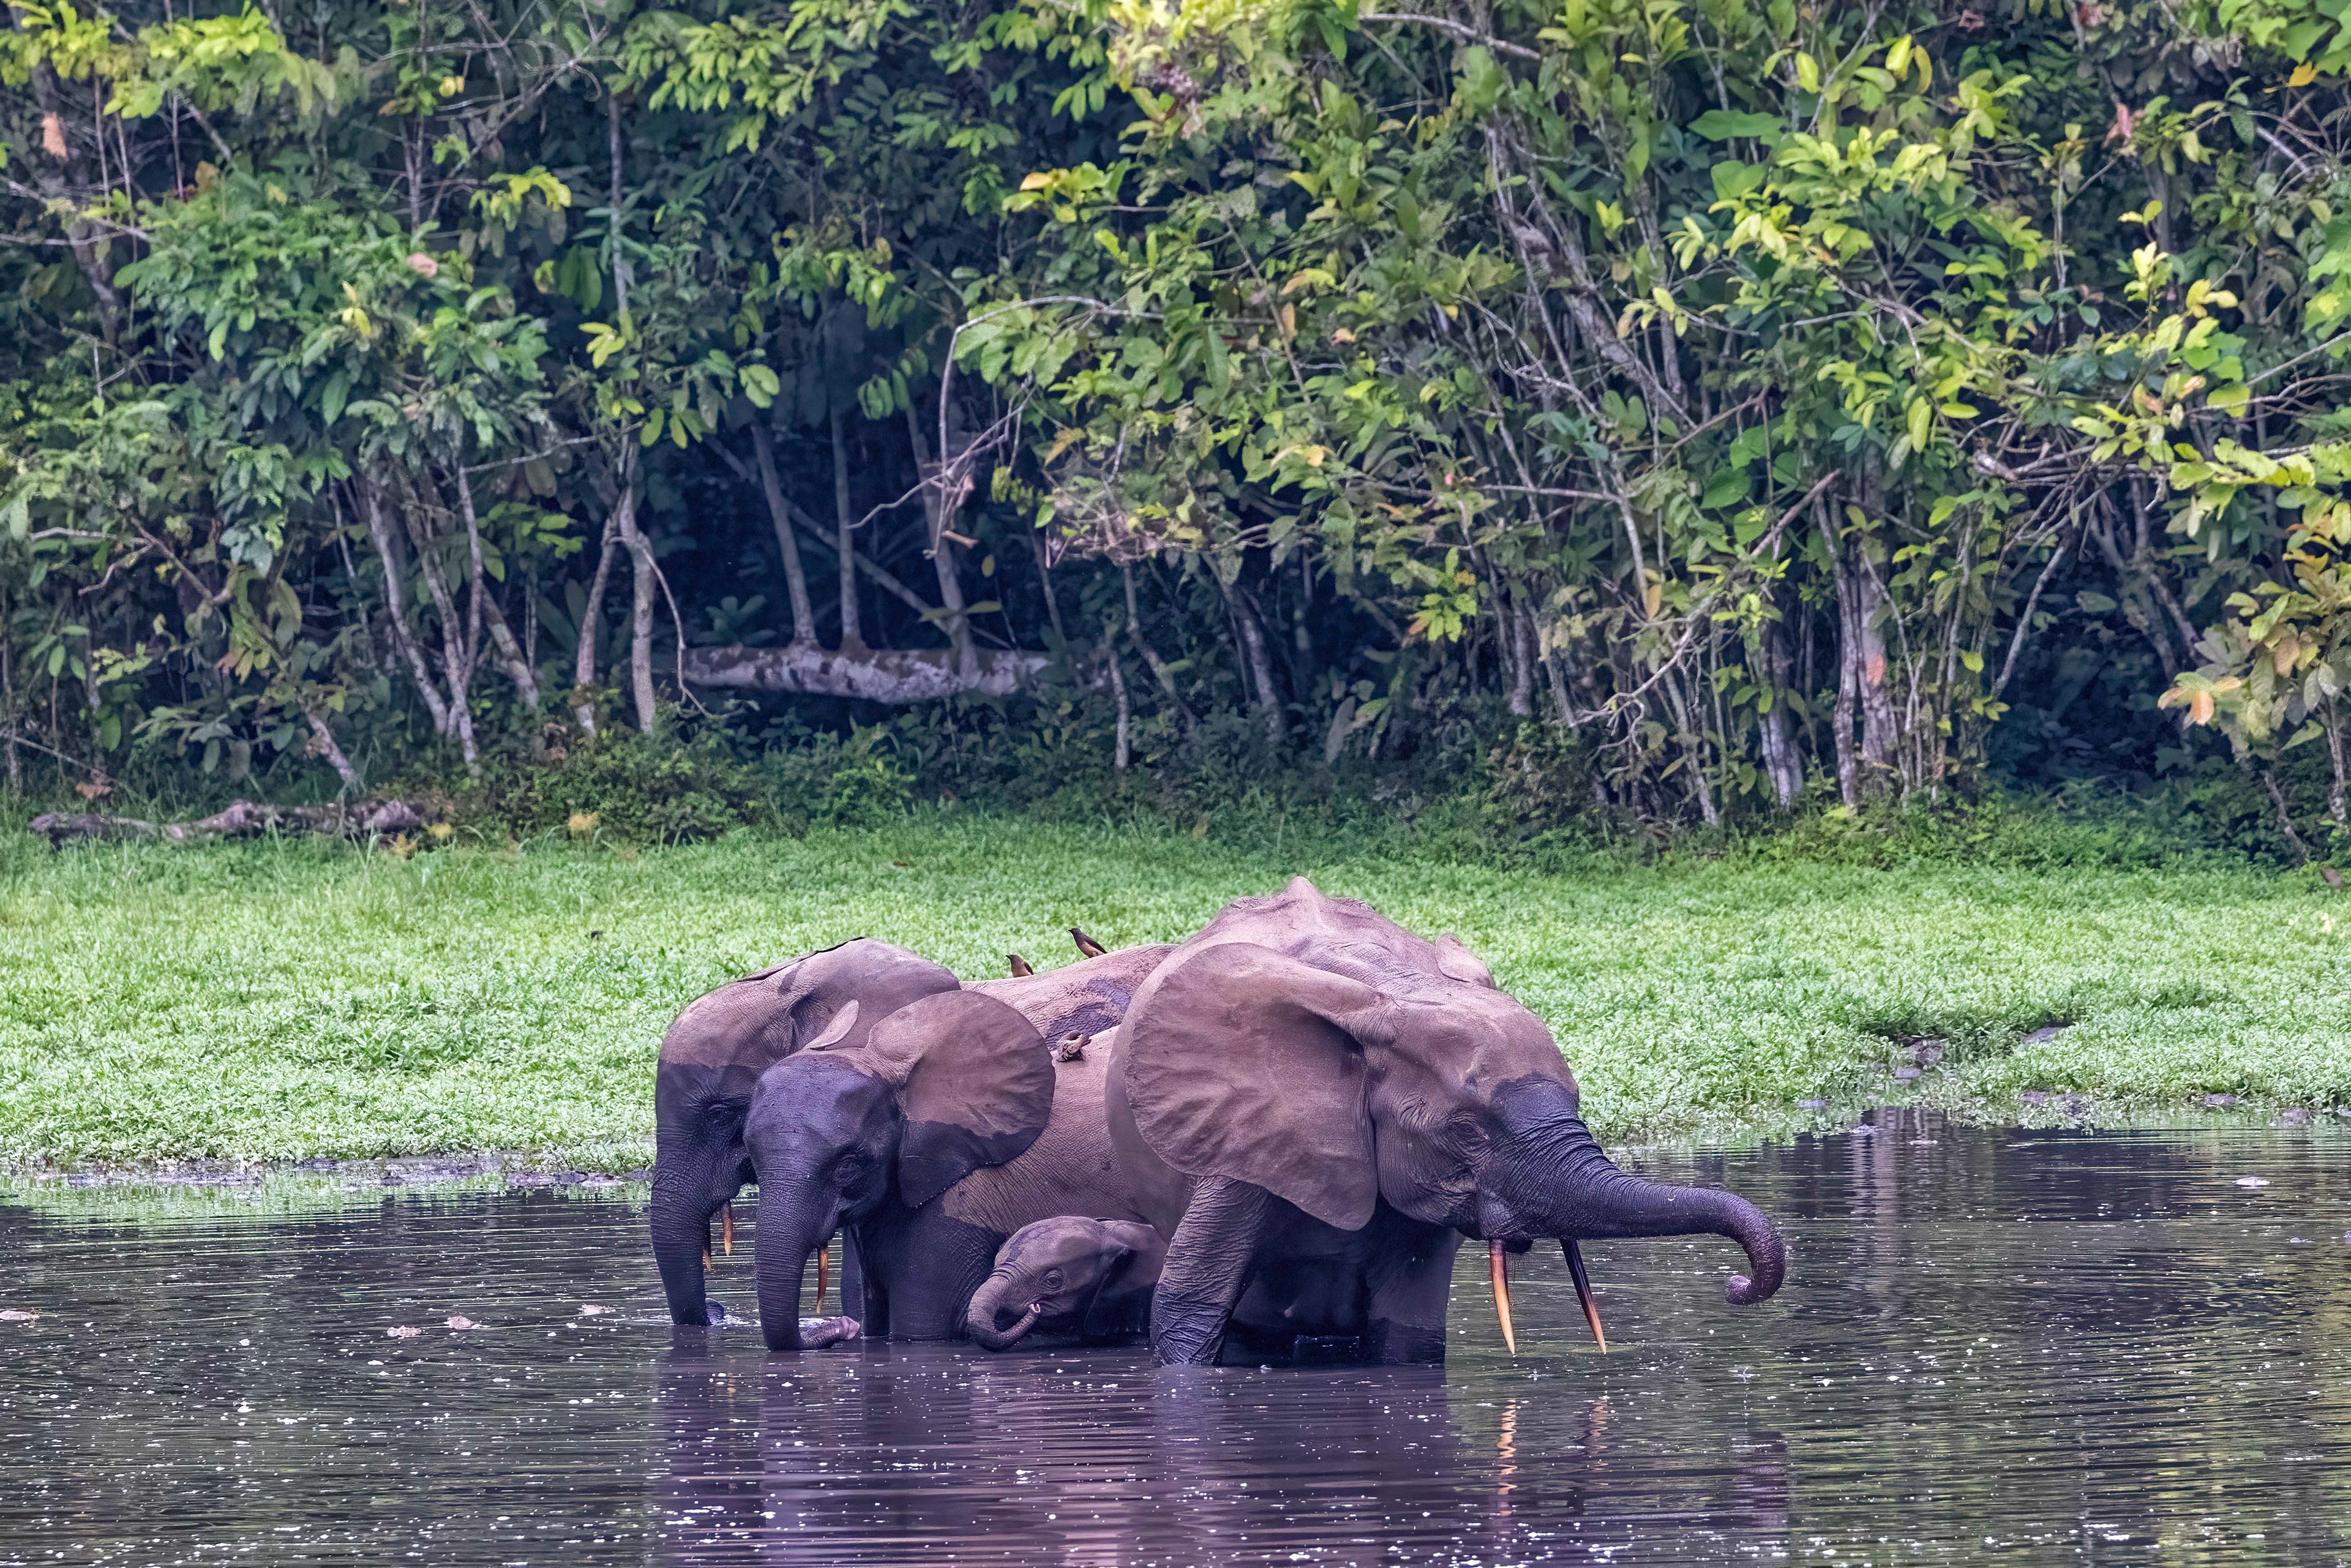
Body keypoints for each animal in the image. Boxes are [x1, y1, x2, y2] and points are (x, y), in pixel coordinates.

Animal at [1105, 877, 1788, 1366]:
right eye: (1467, 1131)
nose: (1736, 1284)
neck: (1394, 994)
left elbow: (1409, 1335)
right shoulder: (1243, 1129)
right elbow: (1187, 1313)